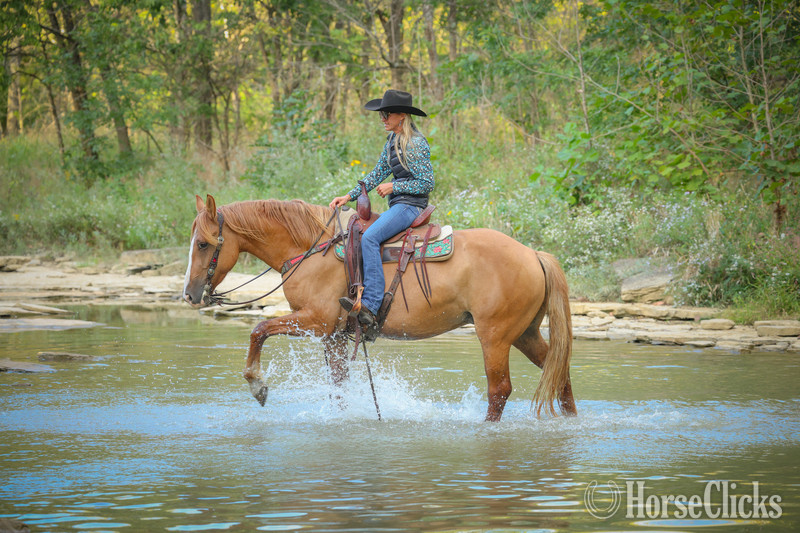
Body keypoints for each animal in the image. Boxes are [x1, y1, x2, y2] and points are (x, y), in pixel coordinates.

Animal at [183, 194, 577, 421]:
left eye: (203, 244)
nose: (189, 294)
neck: (311, 249)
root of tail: (533, 255)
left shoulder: (315, 322)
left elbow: (259, 329)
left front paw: (257, 385)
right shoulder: (334, 336)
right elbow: (339, 386)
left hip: (494, 336)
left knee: (500, 390)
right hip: (524, 333)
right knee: (559, 375)